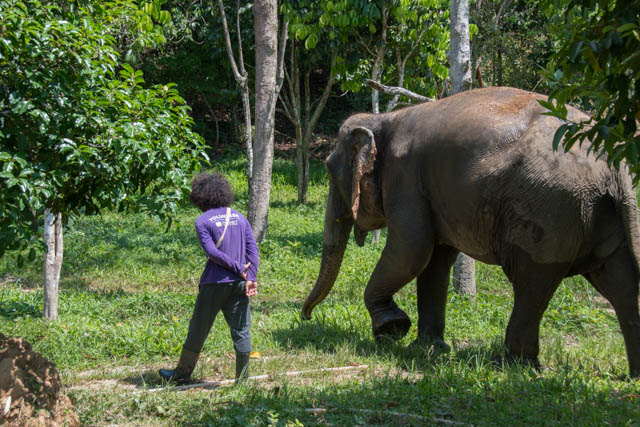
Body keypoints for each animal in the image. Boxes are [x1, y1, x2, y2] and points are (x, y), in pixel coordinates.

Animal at [302, 85, 640, 376]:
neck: (385, 119)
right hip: (599, 213)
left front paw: (391, 329)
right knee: (620, 285)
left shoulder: (405, 176)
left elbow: (411, 249)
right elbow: (434, 262)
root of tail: (615, 163)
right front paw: (427, 347)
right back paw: (632, 376)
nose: (306, 316)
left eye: (330, 171)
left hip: (550, 209)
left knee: (531, 282)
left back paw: (510, 364)